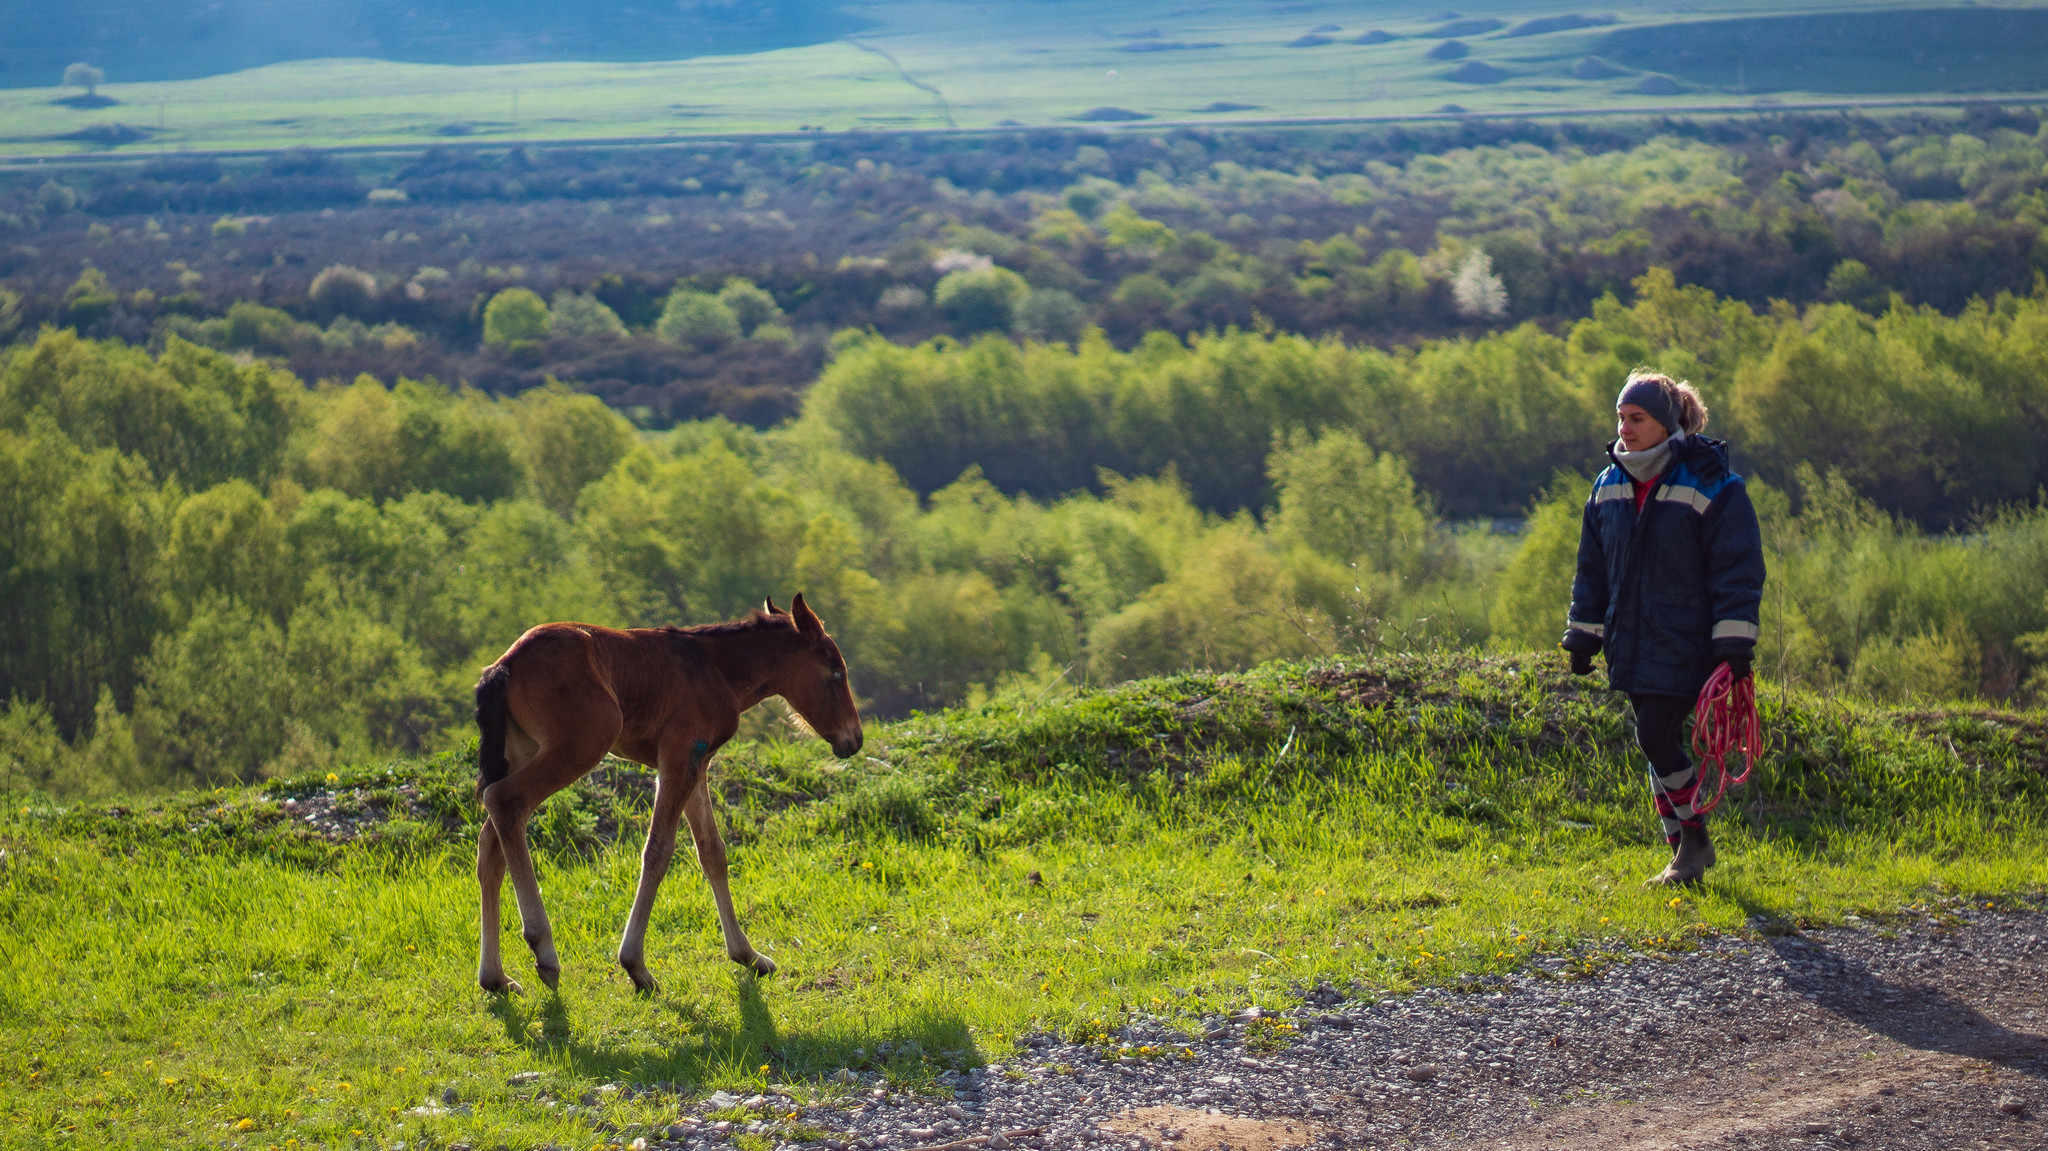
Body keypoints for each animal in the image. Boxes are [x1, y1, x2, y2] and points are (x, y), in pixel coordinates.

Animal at [468, 589, 856, 987]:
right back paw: (542, 948)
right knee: (505, 801)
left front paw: (747, 955)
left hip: (522, 751)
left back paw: (495, 977)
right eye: (836, 672)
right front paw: (635, 964)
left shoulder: (696, 763)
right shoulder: (678, 756)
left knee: (490, 844)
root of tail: (504, 665)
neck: (714, 668)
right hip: (582, 744)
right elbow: (658, 850)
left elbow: (712, 851)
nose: (853, 739)